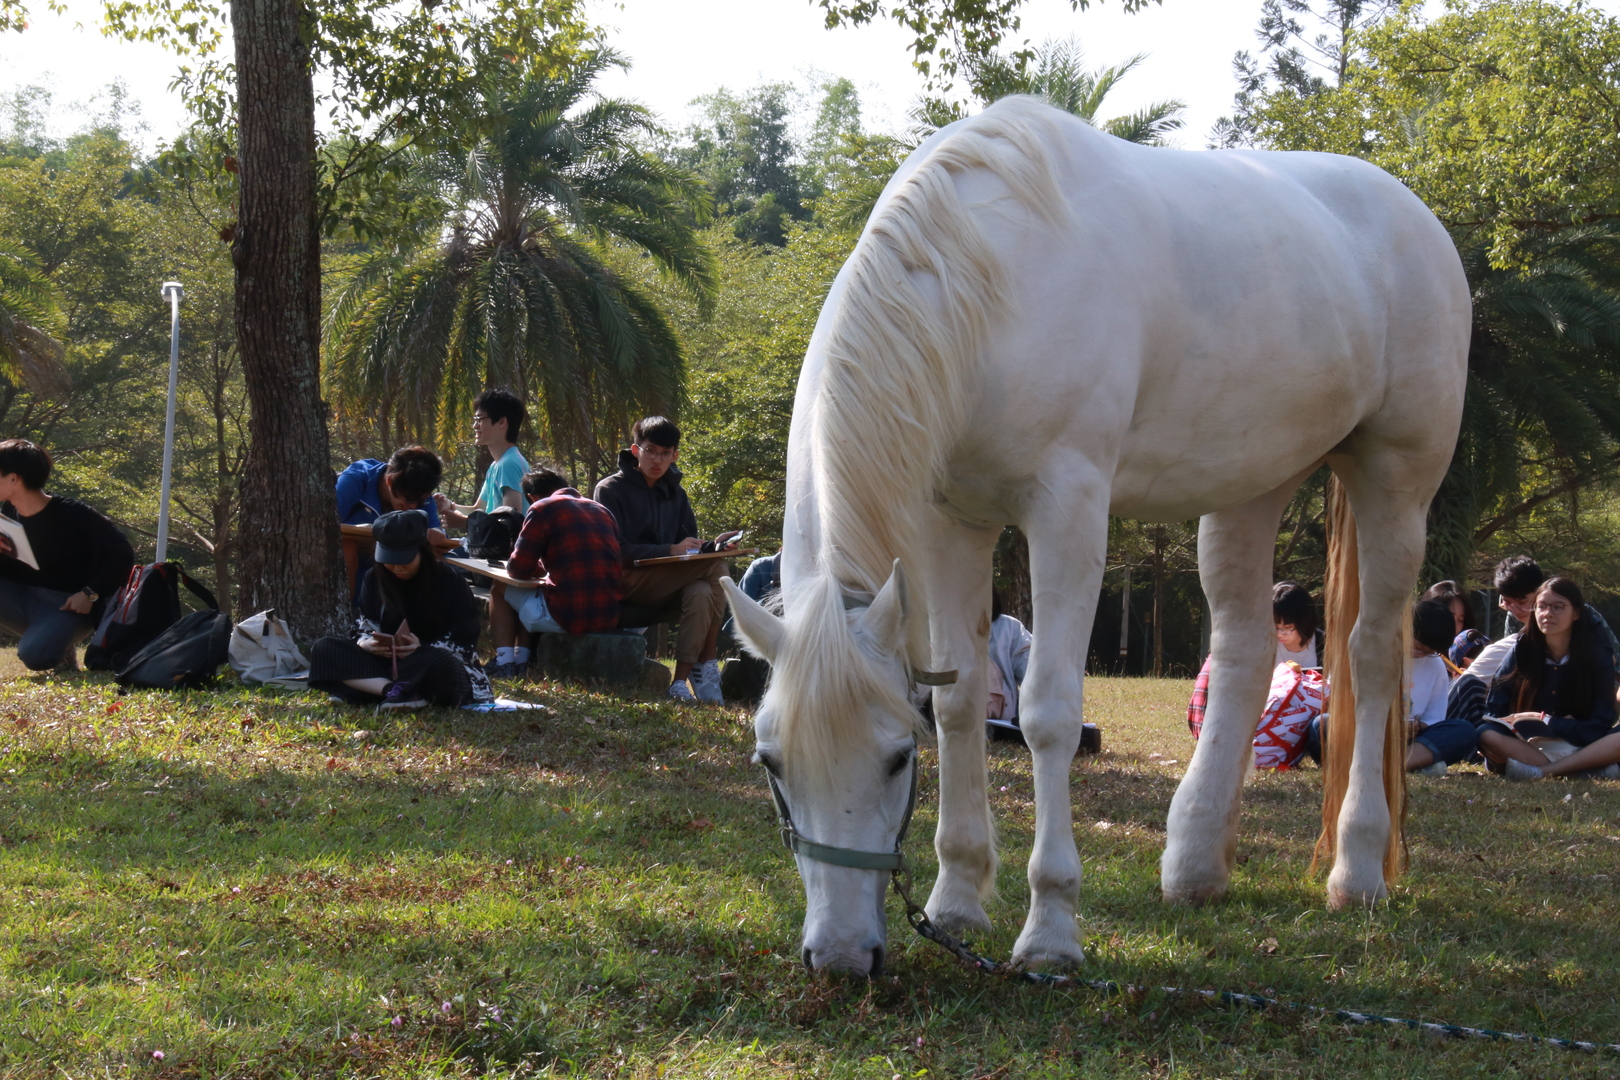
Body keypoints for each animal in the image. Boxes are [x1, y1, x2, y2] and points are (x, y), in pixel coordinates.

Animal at [722, 95, 1469, 976]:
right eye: (771, 761)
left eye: (897, 758)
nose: (840, 956)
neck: (988, 281)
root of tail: (1409, 209)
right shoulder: (951, 523)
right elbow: (962, 702)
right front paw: (958, 899)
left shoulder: (1068, 508)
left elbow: (1047, 711)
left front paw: (1050, 928)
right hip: (1251, 485)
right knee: (1248, 654)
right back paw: (1196, 862)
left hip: (1397, 479)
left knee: (1371, 655)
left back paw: (1356, 871)